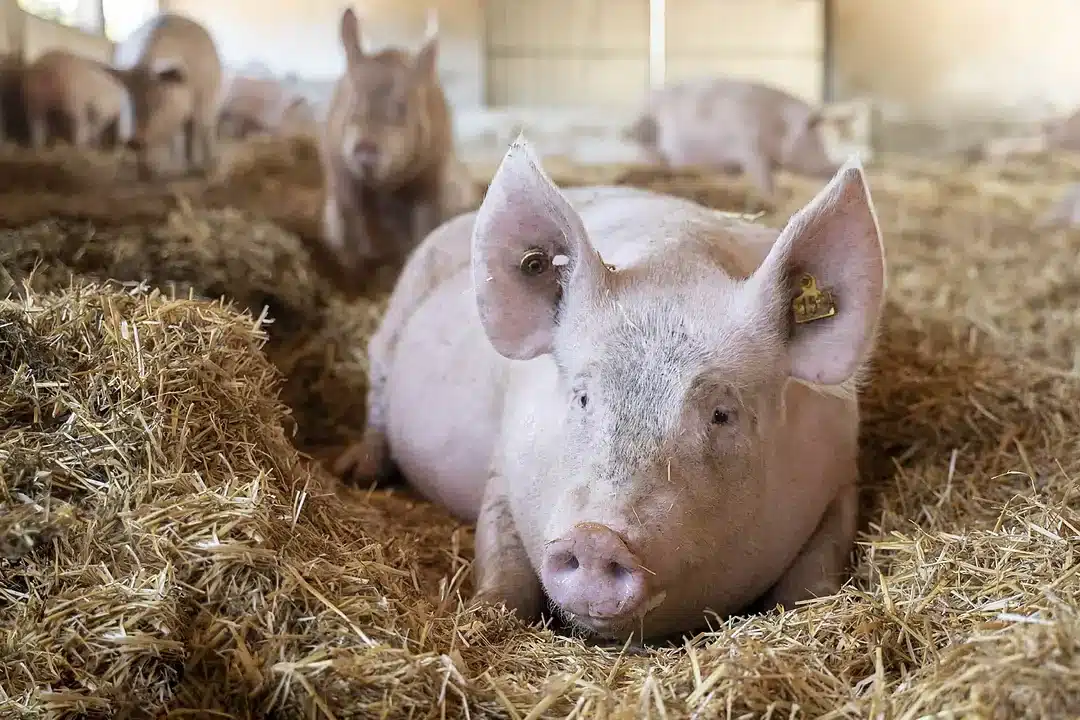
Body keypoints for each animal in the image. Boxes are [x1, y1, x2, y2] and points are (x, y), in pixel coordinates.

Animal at [105, 13, 223, 179]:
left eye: (157, 101)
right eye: (128, 101)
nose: (133, 141)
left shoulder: (206, 97)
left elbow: (206, 129)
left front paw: (213, 175)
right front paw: (146, 174)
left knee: (191, 131)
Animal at [315, 7, 477, 287]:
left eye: (401, 109)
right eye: (352, 103)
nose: (365, 149)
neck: (386, 186)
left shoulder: (431, 176)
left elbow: (423, 225)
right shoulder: (341, 174)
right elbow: (353, 220)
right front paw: (358, 275)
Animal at [334, 134, 885, 643]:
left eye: (721, 414)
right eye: (583, 397)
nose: (596, 538)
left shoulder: (841, 476)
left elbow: (813, 579)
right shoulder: (501, 469)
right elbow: (502, 563)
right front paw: (482, 616)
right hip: (397, 314)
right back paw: (356, 472)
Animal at [626, 77, 842, 204]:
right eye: (816, 141)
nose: (835, 165)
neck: (778, 125)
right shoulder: (749, 149)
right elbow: (764, 179)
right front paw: (778, 197)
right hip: (649, 140)